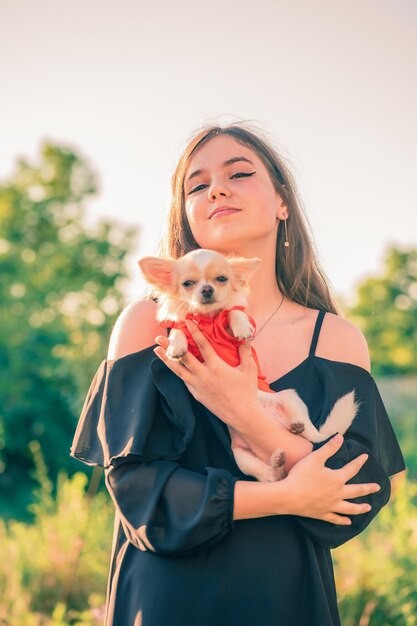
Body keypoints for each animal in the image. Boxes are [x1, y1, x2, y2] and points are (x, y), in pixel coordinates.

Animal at [138, 246, 360, 480]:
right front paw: (175, 347)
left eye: (222, 279)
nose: (207, 289)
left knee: (311, 436)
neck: (210, 320)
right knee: (272, 476)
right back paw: (277, 461)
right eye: (188, 283)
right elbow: (179, 330)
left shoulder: (232, 316)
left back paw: (297, 427)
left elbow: (234, 311)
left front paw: (242, 327)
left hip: (290, 399)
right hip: (243, 459)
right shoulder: (186, 327)